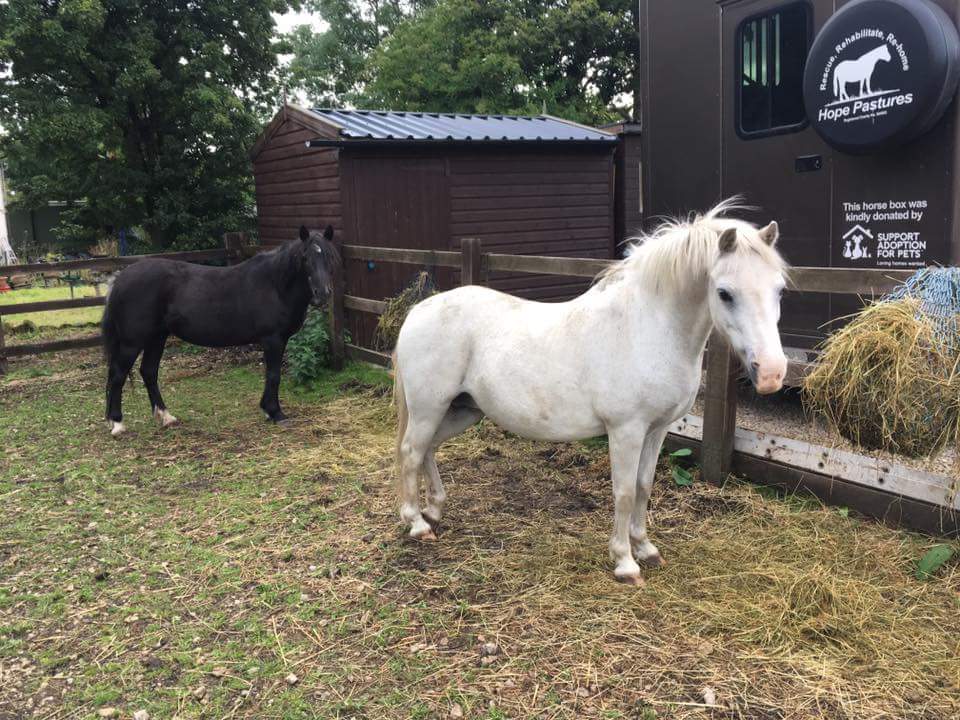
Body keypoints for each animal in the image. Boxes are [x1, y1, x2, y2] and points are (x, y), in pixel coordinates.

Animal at [101, 226, 340, 437]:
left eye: (329, 257)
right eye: (305, 258)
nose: (322, 294)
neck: (274, 285)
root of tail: (120, 279)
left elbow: (270, 375)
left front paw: (267, 409)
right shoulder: (273, 339)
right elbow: (274, 375)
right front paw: (275, 413)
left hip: (157, 338)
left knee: (149, 372)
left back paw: (166, 417)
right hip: (132, 342)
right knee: (118, 375)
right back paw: (117, 424)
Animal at [392, 200, 788, 586]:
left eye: (779, 289)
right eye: (725, 293)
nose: (771, 373)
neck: (646, 328)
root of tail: (419, 310)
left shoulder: (657, 430)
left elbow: (644, 486)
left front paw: (646, 548)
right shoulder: (626, 430)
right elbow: (624, 492)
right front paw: (625, 563)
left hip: (461, 410)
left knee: (427, 449)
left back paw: (435, 510)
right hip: (429, 408)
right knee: (411, 452)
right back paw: (416, 523)